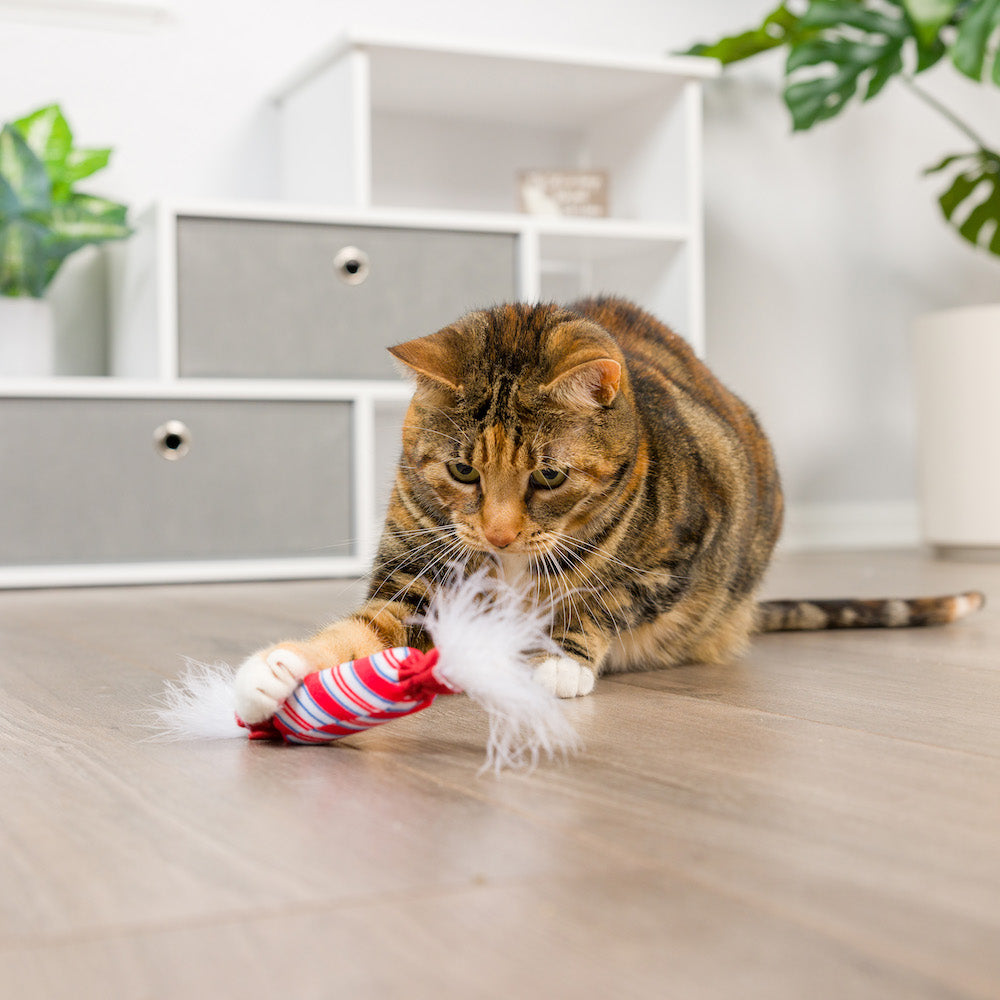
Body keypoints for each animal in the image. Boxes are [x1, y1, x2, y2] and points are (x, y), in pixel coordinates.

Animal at [236, 296, 984, 720]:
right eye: (461, 470)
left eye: (550, 476)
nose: (499, 536)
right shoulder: (417, 576)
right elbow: (362, 629)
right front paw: (279, 671)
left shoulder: (684, 545)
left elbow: (604, 598)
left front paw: (557, 660)